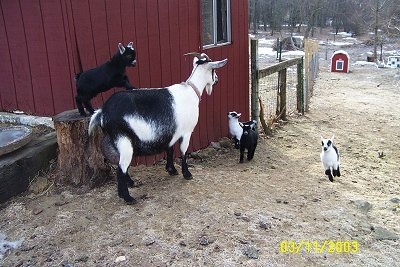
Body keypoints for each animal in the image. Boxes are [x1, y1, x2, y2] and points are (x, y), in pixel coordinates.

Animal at [89, 53, 227, 204]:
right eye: (213, 70)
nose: (217, 80)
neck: (191, 91)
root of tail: (103, 112)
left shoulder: (171, 131)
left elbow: (170, 149)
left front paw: (171, 170)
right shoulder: (187, 132)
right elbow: (183, 151)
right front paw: (187, 174)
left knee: (121, 165)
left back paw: (130, 184)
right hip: (123, 139)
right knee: (121, 168)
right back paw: (128, 197)